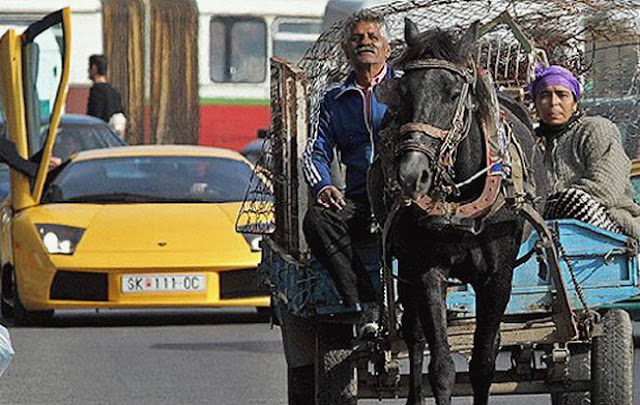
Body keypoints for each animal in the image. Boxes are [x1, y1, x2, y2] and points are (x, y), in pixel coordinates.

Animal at [368, 19, 548, 404]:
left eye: (453, 93)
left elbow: (483, 363)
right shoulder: (425, 270)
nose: (411, 175)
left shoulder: (498, 277)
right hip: (405, 264)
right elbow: (441, 366)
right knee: (414, 336)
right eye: (403, 92)